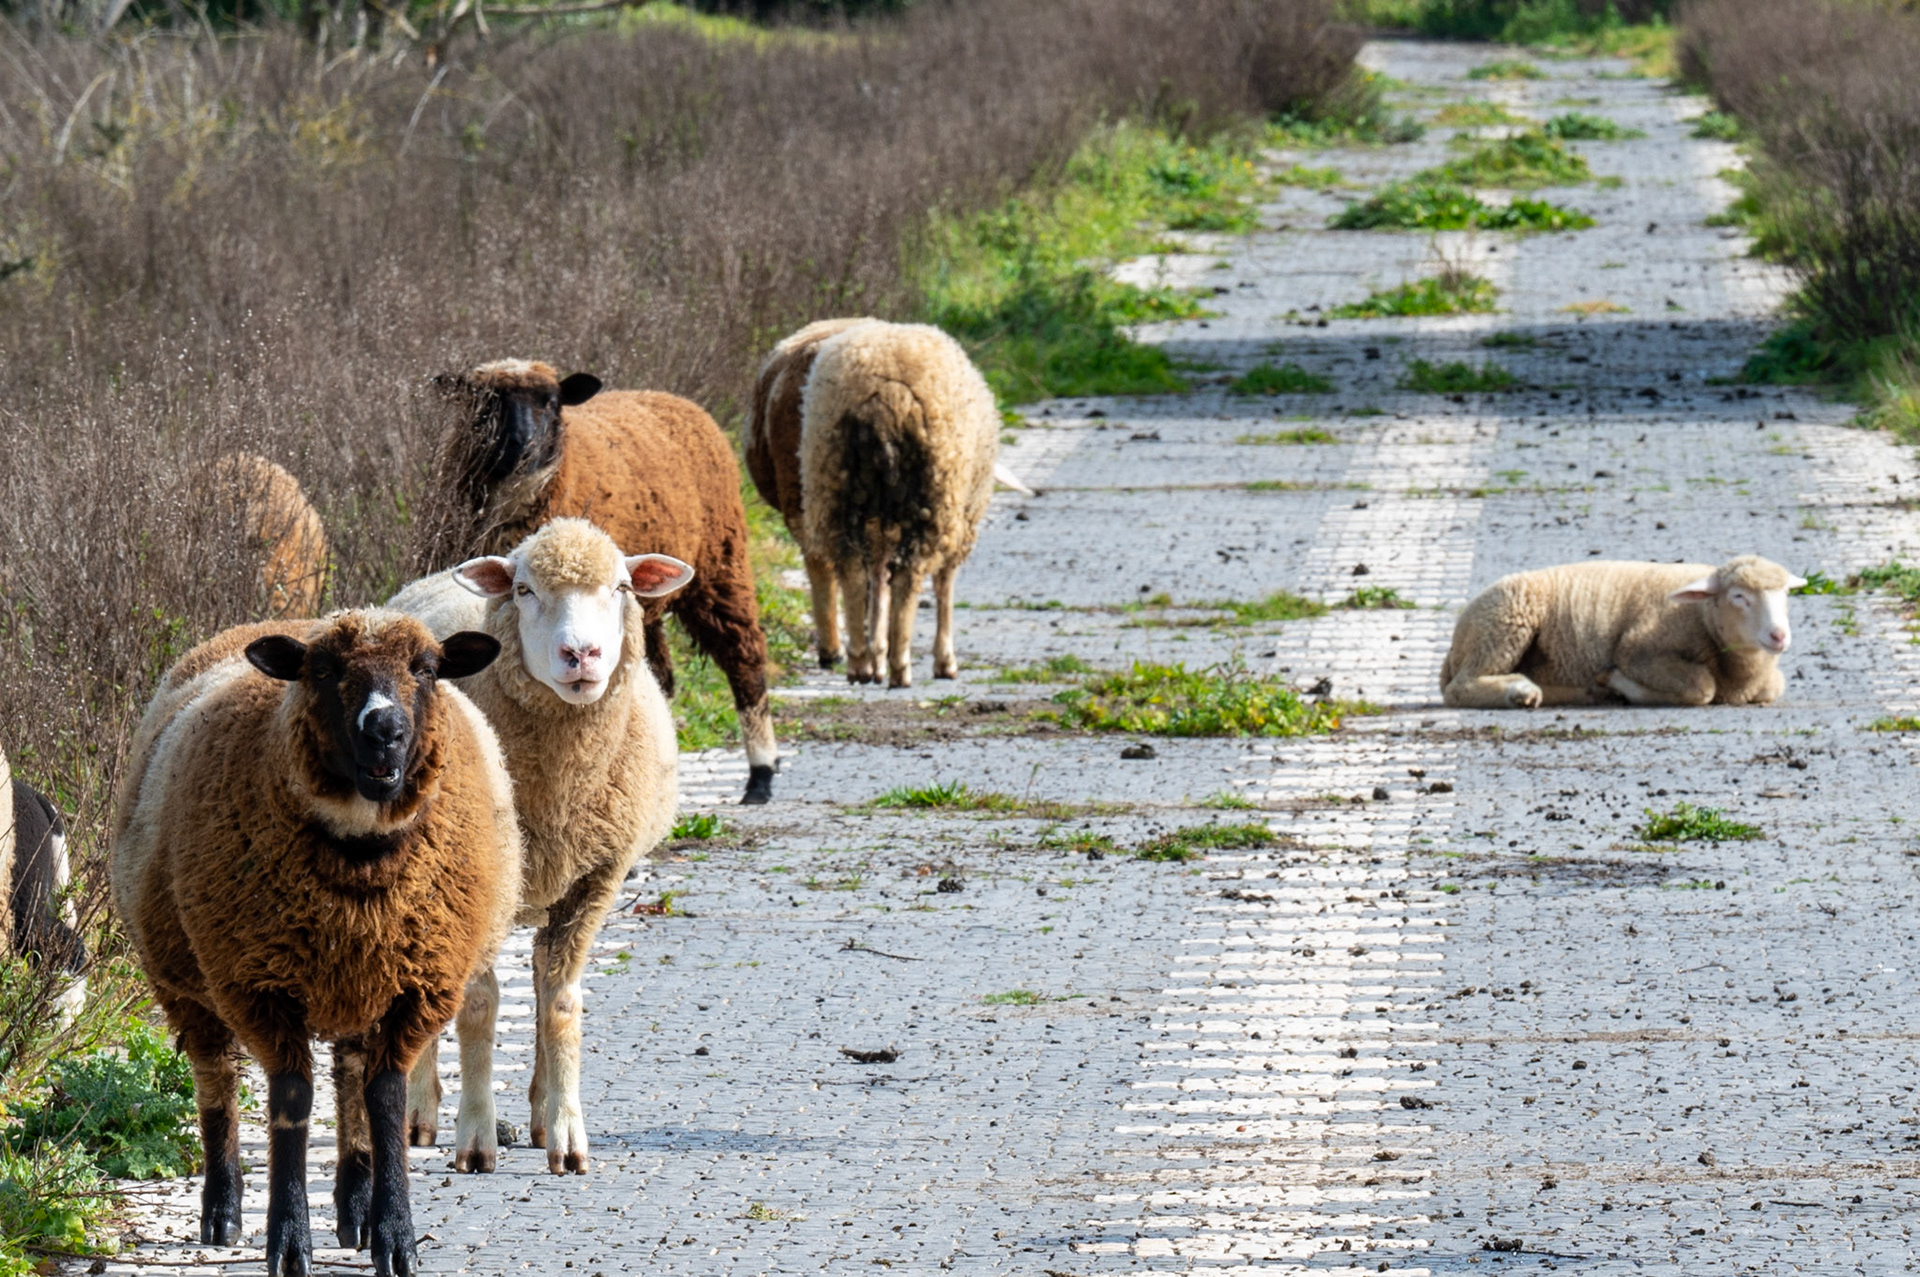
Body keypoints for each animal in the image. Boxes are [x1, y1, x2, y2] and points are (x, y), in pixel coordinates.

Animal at [111, 610, 520, 1276]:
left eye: (427, 668)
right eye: (322, 671)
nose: (384, 729)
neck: (361, 865)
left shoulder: (417, 983)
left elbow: (385, 1098)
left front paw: (395, 1238)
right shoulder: (258, 983)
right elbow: (291, 1101)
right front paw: (288, 1241)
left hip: (357, 979)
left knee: (351, 1078)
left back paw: (355, 1211)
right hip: (187, 981)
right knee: (215, 1081)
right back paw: (222, 1212)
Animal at [387, 517, 691, 1175]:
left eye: (623, 587)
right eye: (524, 590)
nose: (582, 655)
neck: (559, 789)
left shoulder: (596, 878)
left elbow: (560, 1005)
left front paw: (567, 1133)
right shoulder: (474, 874)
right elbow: (478, 1003)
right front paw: (475, 1138)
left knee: (540, 976)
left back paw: (535, 1110)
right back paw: (418, 1113)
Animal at [432, 360, 776, 803]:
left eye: (551, 401)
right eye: (486, 401)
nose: (523, 446)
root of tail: (669, 397)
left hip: (720, 561)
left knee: (743, 652)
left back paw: (761, 773)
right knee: (664, 675)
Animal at [749, 318, 1032, 674]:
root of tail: (887, 393)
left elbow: (877, 579)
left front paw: (877, 645)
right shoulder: (960, 514)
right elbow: (944, 582)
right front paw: (942, 659)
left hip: (824, 487)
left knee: (845, 567)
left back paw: (856, 657)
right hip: (929, 497)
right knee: (900, 575)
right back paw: (892, 663)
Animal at [1440, 555, 1806, 709]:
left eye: (1785, 594)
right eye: (1739, 597)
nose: (1779, 636)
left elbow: (1775, 685)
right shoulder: (1637, 651)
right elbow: (1702, 687)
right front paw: (1619, 683)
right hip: (1504, 624)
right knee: (1460, 688)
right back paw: (1518, 692)